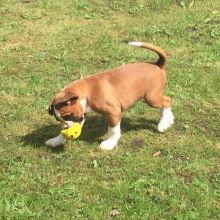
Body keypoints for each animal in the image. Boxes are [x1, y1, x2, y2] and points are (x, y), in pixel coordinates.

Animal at [45, 42, 174, 150]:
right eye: (59, 119)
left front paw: (109, 143)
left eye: (68, 115)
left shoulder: (113, 113)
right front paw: (56, 140)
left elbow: (113, 131)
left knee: (167, 101)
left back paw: (163, 123)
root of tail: (157, 64)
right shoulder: (81, 114)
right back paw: (169, 120)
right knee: (166, 102)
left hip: (151, 98)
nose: (66, 128)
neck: (87, 91)